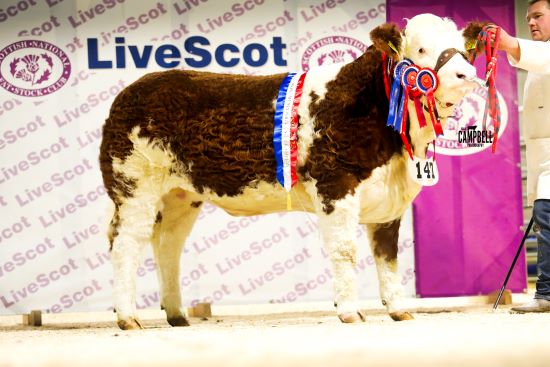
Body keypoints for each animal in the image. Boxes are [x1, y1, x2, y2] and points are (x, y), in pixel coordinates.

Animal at [100, 13, 488, 330]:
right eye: (421, 48)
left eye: (463, 50)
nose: (466, 74)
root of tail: (130, 92)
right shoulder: (335, 184)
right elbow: (345, 249)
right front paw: (350, 312)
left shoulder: (390, 200)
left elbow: (388, 256)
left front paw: (398, 310)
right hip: (133, 185)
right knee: (126, 243)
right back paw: (128, 317)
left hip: (181, 195)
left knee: (168, 246)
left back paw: (178, 315)